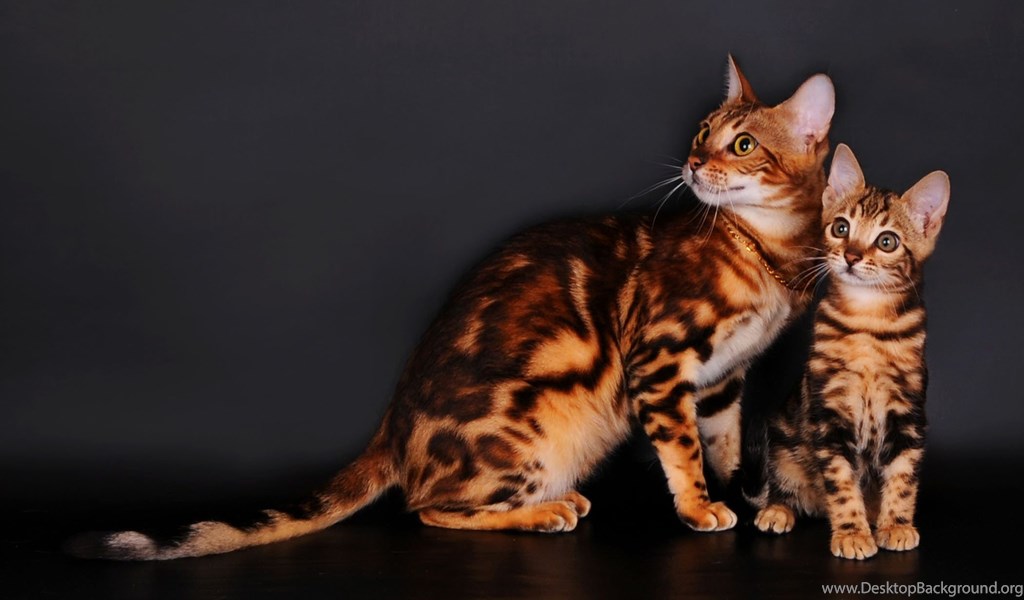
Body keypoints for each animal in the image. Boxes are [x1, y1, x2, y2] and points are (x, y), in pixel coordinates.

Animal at [67, 56, 836, 560]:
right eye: (702, 132)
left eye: (741, 143)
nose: (694, 165)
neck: (762, 252)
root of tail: (392, 426)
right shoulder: (660, 357)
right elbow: (680, 447)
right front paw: (701, 506)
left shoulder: (725, 377)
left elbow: (723, 442)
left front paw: (742, 492)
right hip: (535, 430)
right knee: (427, 508)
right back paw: (545, 511)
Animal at [745, 143, 950, 560]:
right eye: (841, 228)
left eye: (887, 241)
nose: (852, 256)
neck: (867, 325)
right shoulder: (829, 415)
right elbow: (840, 483)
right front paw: (852, 533)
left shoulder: (909, 413)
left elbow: (903, 477)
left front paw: (895, 525)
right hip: (783, 441)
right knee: (782, 485)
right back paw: (777, 510)